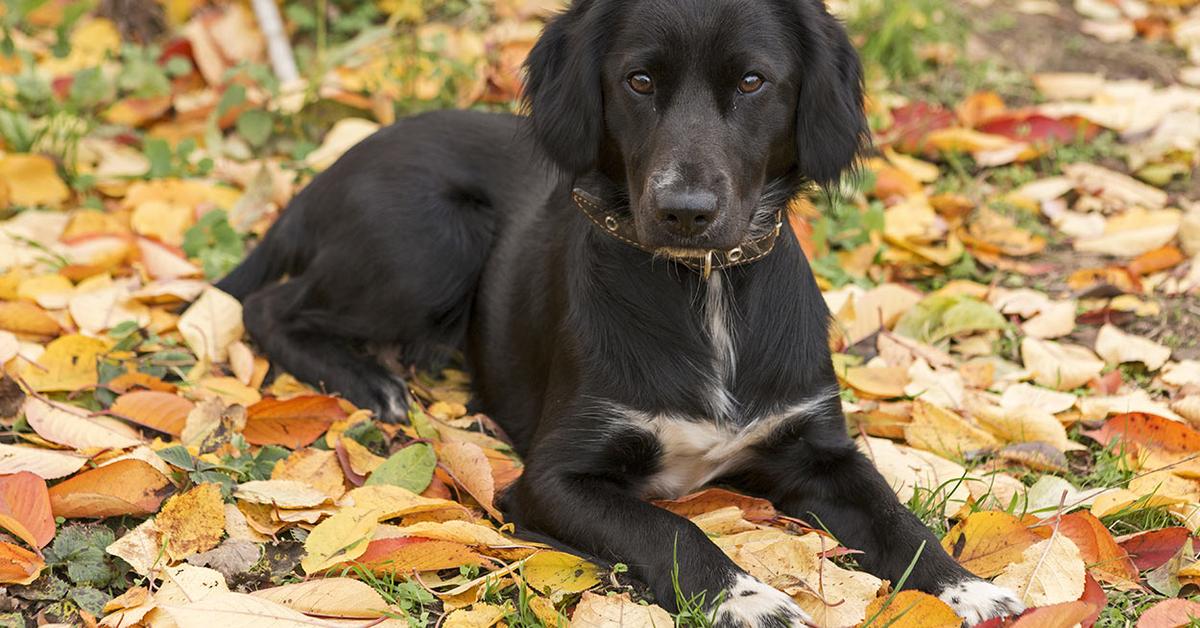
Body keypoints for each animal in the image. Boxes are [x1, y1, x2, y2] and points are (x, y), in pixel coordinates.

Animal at [218, 0, 1022, 624]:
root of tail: (323, 175)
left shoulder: (817, 449)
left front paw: (968, 587)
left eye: (753, 81)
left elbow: (896, 518)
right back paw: (369, 382)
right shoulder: (553, 479)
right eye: (639, 81)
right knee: (266, 305)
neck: (705, 289)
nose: (684, 212)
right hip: (428, 239)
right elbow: (670, 530)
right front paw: (748, 598)